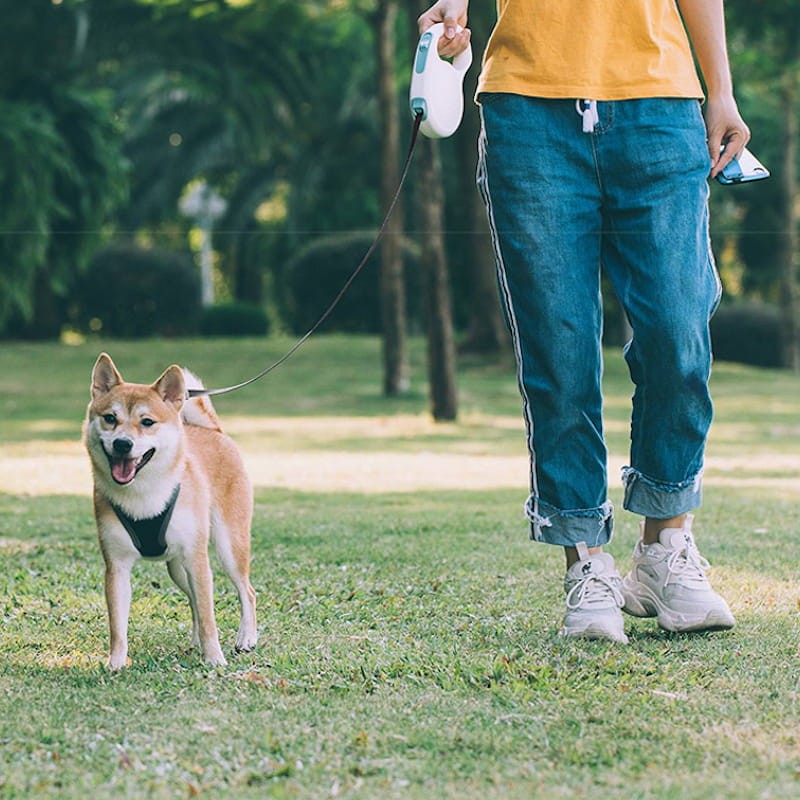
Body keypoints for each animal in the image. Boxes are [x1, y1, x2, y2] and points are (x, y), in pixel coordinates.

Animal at [82, 354, 256, 668]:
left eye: (147, 422)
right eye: (110, 418)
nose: (122, 443)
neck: (144, 493)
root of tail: (213, 431)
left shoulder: (198, 560)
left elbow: (210, 618)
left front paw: (215, 660)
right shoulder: (117, 566)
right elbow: (118, 626)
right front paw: (116, 664)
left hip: (228, 548)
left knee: (246, 592)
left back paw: (246, 638)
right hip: (177, 568)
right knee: (194, 602)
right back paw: (196, 642)